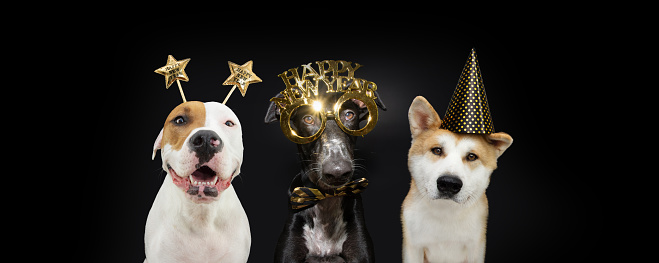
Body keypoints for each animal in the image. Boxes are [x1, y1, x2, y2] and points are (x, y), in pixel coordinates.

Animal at [402, 97, 516, 263]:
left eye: (471, 156)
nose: (449, 183)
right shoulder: (414, 247)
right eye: (437, 150)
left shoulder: (475, 249)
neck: (445, 213)